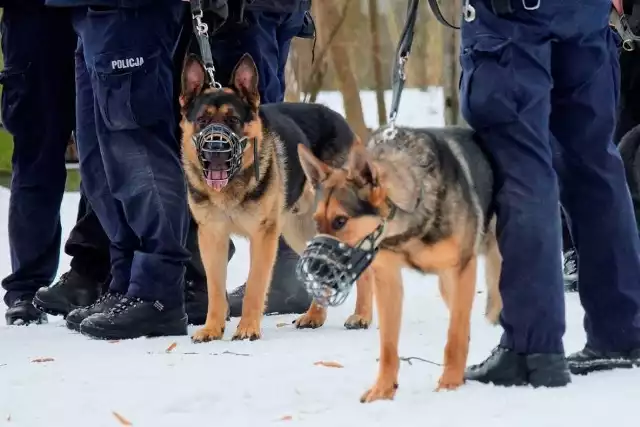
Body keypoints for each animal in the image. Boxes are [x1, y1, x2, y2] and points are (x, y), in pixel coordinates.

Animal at [180, 52, 370, 342]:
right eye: (202, 120)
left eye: (233, 121)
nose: (216, 149)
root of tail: (340, 120)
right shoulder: (212, 237)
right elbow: (215, 290)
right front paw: (212, 328)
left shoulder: (263, 236)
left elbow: (255, 286)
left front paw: (247, 328)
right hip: (300, 230)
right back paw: (315, 316)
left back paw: (362, 316)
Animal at [298, 125, 502, 402]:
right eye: (317, 222)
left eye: (341, 221)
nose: (312, 269)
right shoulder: (388, 279)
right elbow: (388, 345)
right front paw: (383, 390)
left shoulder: (461, 270)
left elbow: (455, 336)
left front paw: (449, 384)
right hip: (447, 285)